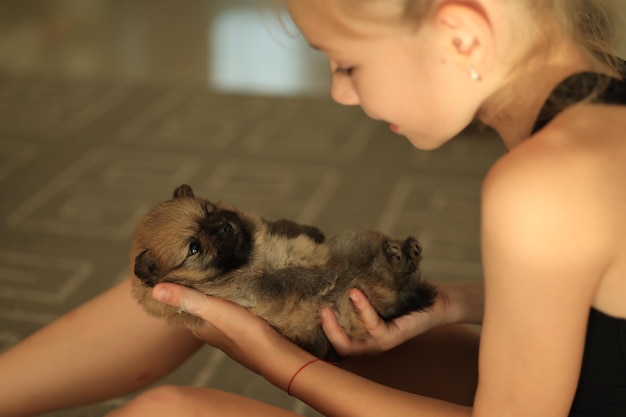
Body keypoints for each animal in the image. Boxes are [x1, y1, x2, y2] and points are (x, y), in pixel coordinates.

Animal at [130, 184, 434, 360]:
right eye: (194, 248)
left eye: (210, 210)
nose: (225, 227)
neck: (247, 255)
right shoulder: (253, 288)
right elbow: (284, 278)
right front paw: (321, 277)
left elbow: (282, 225)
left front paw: (307, 230)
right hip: (350, 299)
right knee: (383, 291)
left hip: (348, 244)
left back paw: (402, 253)